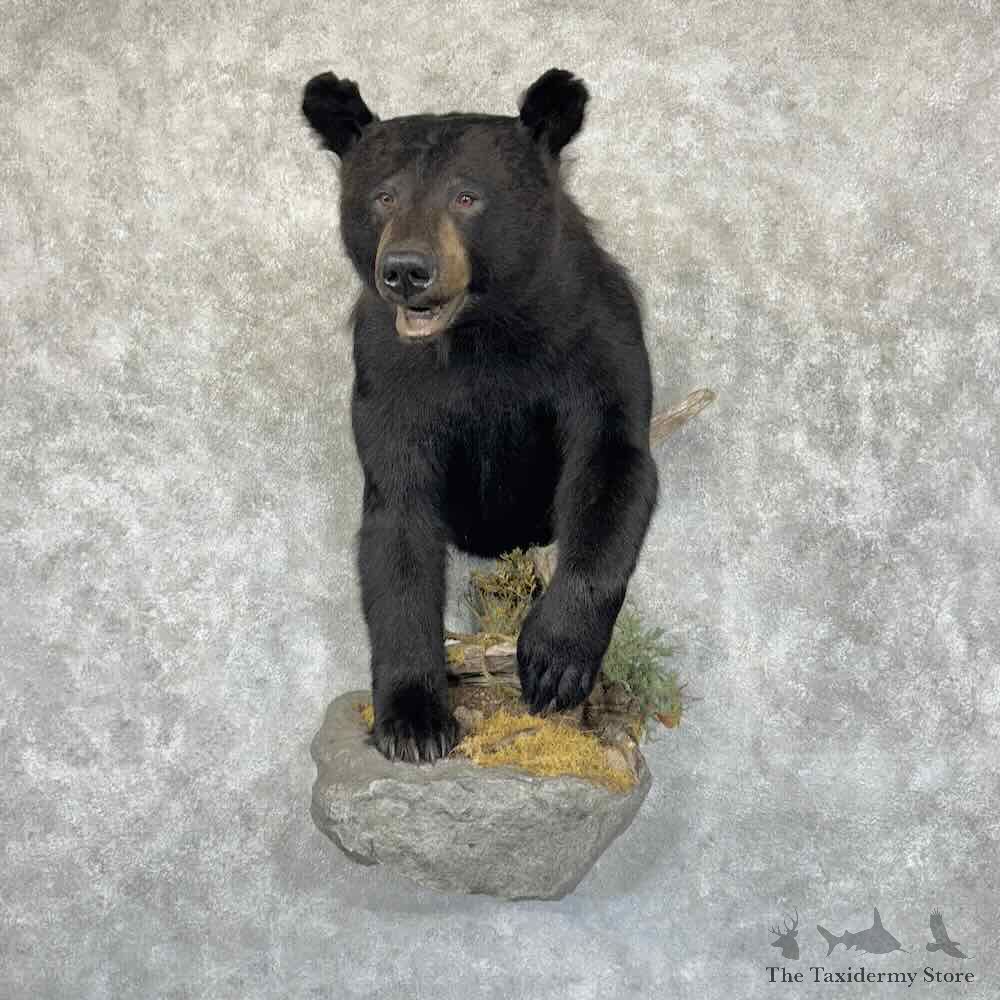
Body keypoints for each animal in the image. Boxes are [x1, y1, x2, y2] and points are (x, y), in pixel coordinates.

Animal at [302, 68, 659, 763]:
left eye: (467, 196)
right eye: (383, 196)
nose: (406, 270)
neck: (482, 331)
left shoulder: (596, 338)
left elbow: (613, 465)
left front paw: (554, 662)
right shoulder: (389, 374)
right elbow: (398, 524)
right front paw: (414, 721)